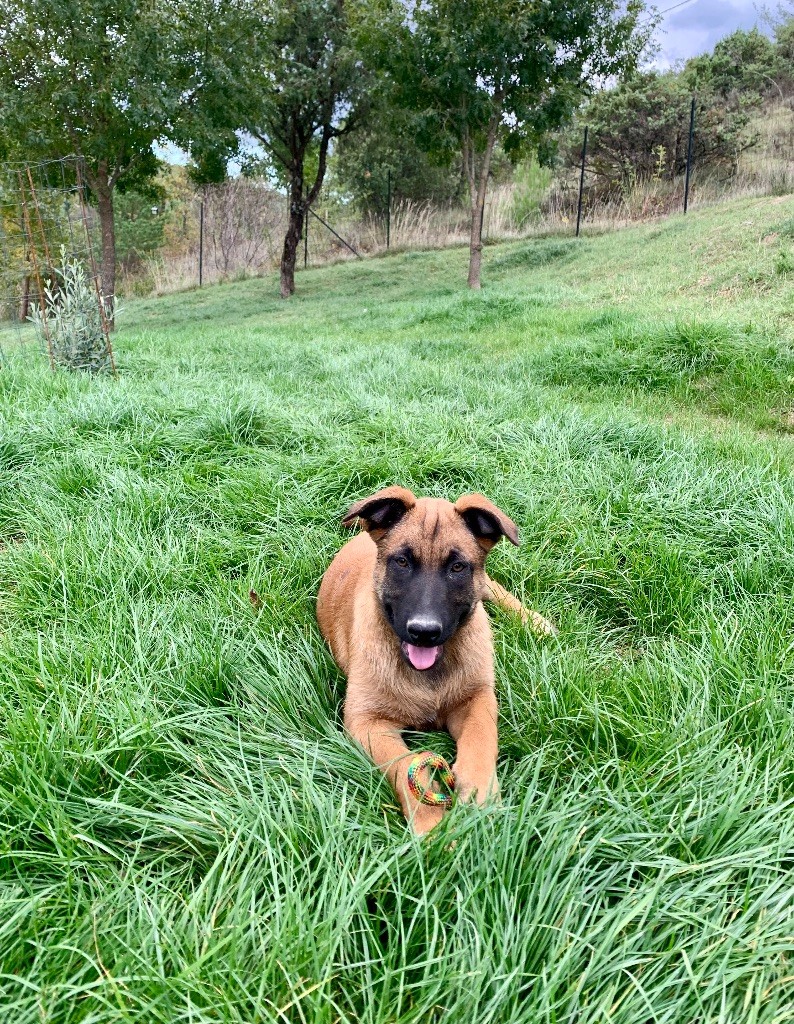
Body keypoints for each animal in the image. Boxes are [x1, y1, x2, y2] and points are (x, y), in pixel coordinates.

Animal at [317, 485, 557, 831]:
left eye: (457, 568)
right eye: (402, 562)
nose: (424, 631)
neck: (429, 675)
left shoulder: (478, 697)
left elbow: (481, 739)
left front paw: (480, 793)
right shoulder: (366, 721)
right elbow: (403, 765)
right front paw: (432, 825)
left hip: (487, 591)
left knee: (494, 588)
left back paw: (536, 623)